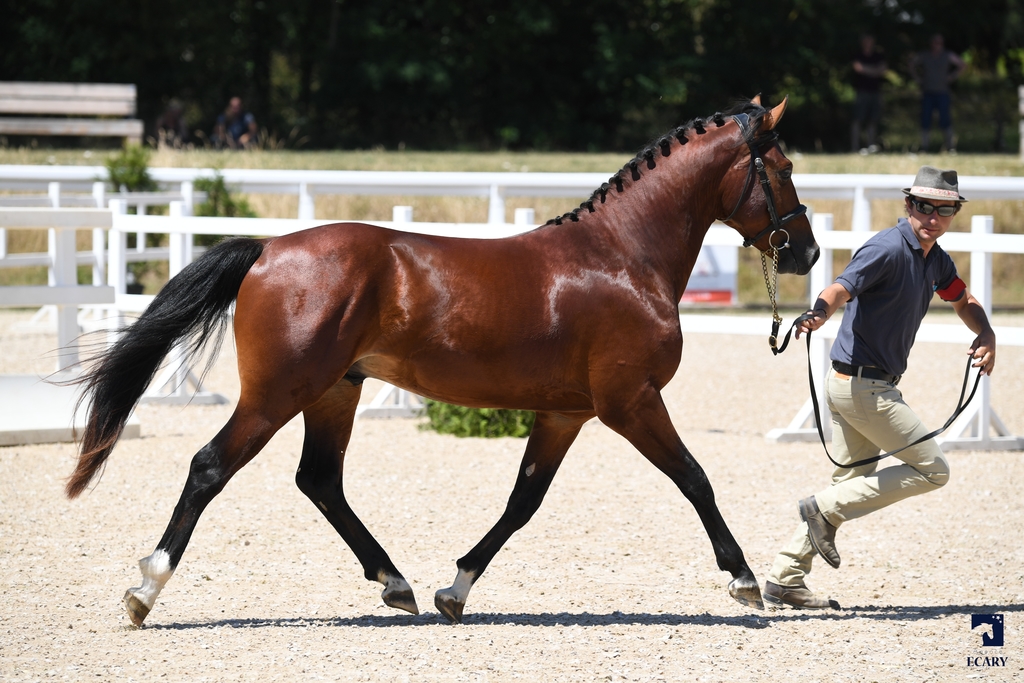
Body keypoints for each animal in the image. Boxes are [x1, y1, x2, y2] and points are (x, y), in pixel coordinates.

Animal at [66, 96, 815, 626]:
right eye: (782, 169)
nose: (805, 252)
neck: (625, 256)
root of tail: (268, 249)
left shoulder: (566, 414)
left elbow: (522, 502)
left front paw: (455, 588)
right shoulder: (630, 403)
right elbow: (695, 478)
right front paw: (744, 579)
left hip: (334, 392)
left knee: (321, 481)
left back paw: (395, 582)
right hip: (277, 394)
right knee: (209, 468)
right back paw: (144, 589)